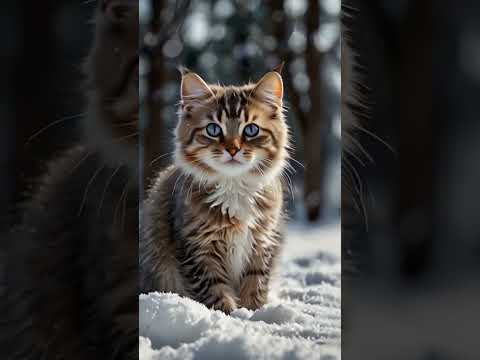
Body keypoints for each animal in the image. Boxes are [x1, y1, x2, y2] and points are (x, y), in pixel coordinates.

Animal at [139, 69, 288, 312]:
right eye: (213, 129)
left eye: (251, 130)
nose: (233, 149)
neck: (234, 186)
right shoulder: (198, 250)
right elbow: (214, 291)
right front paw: (231, 314)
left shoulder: (261, 243)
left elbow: (255, 284)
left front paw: (253, 313)